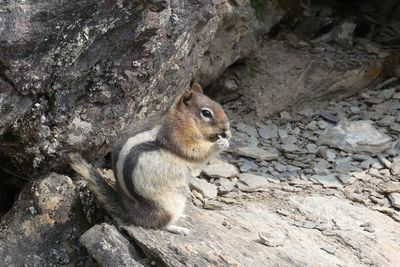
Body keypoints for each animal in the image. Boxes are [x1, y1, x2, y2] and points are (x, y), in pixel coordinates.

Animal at [70, 84, 230, 237]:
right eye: (206, 113)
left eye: (218, 104)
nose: (227, 127)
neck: (182, 119)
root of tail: (133, 214)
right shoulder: (176, 137)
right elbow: (196, 152)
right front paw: (219, 144)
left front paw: (227, 137)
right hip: (170, 203)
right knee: (161, 224)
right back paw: (179, 228)